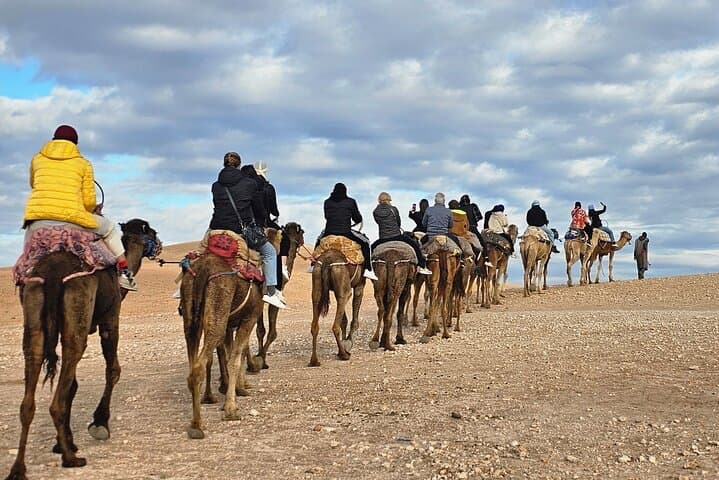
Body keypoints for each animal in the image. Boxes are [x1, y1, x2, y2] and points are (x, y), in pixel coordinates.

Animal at [6, 219, 161, 479]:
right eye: (151, 231)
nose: (160, 245)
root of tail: (52, 271)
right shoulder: (110, 319)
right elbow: (113, 371)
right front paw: (99, 424)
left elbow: (73, 386)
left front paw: (63, 441)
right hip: (78, 307)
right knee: (61, 388)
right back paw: (70, 458)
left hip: (35, 311)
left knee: (31, 385)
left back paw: (19, 469)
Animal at [180, 239, 265, 440]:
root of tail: (203, 269)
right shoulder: (249, 318)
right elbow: (234, 358)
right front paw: (231, 408)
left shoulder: (229, 325)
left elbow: (230, 355)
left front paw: (235, 390)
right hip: (219, 301)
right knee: (199, 365)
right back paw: (198, 426)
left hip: (191, 317)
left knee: (193, 355)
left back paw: (195, 421)